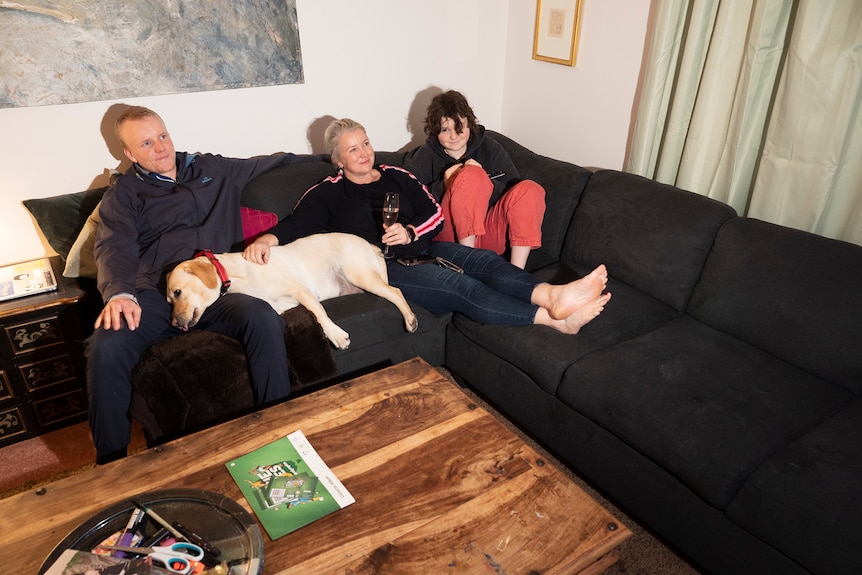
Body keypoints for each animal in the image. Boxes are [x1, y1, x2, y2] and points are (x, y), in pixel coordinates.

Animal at [166, 232, 422, 348]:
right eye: (169, 301)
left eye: (177, 293)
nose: (175, 325)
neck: (238, 274)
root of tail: (370, 245)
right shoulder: (284, 306)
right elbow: (312, 314)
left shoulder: (301, 291)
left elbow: (320, 314)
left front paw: (336, 335)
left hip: (361, 275)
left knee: (396, 292)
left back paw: (410, 320)